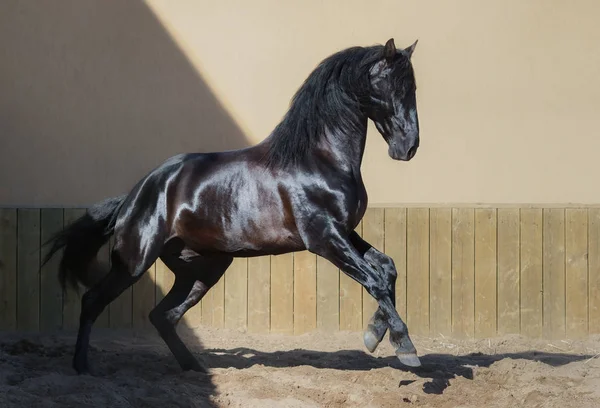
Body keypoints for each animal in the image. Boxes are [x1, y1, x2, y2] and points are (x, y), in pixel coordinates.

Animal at [42, 37, 422, 372]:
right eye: (393, 86)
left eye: (413, 88)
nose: (409, 147)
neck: (320, 159)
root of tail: (135, 195)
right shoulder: (324, 238)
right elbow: (374, 280)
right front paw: (404, 346)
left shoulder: (344, 232)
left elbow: (387, 268)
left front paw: (374, 336)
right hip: (134, 263)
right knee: (93, 301)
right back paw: (82, 366)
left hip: (202, 268)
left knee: (163, 316)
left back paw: (194, 368)